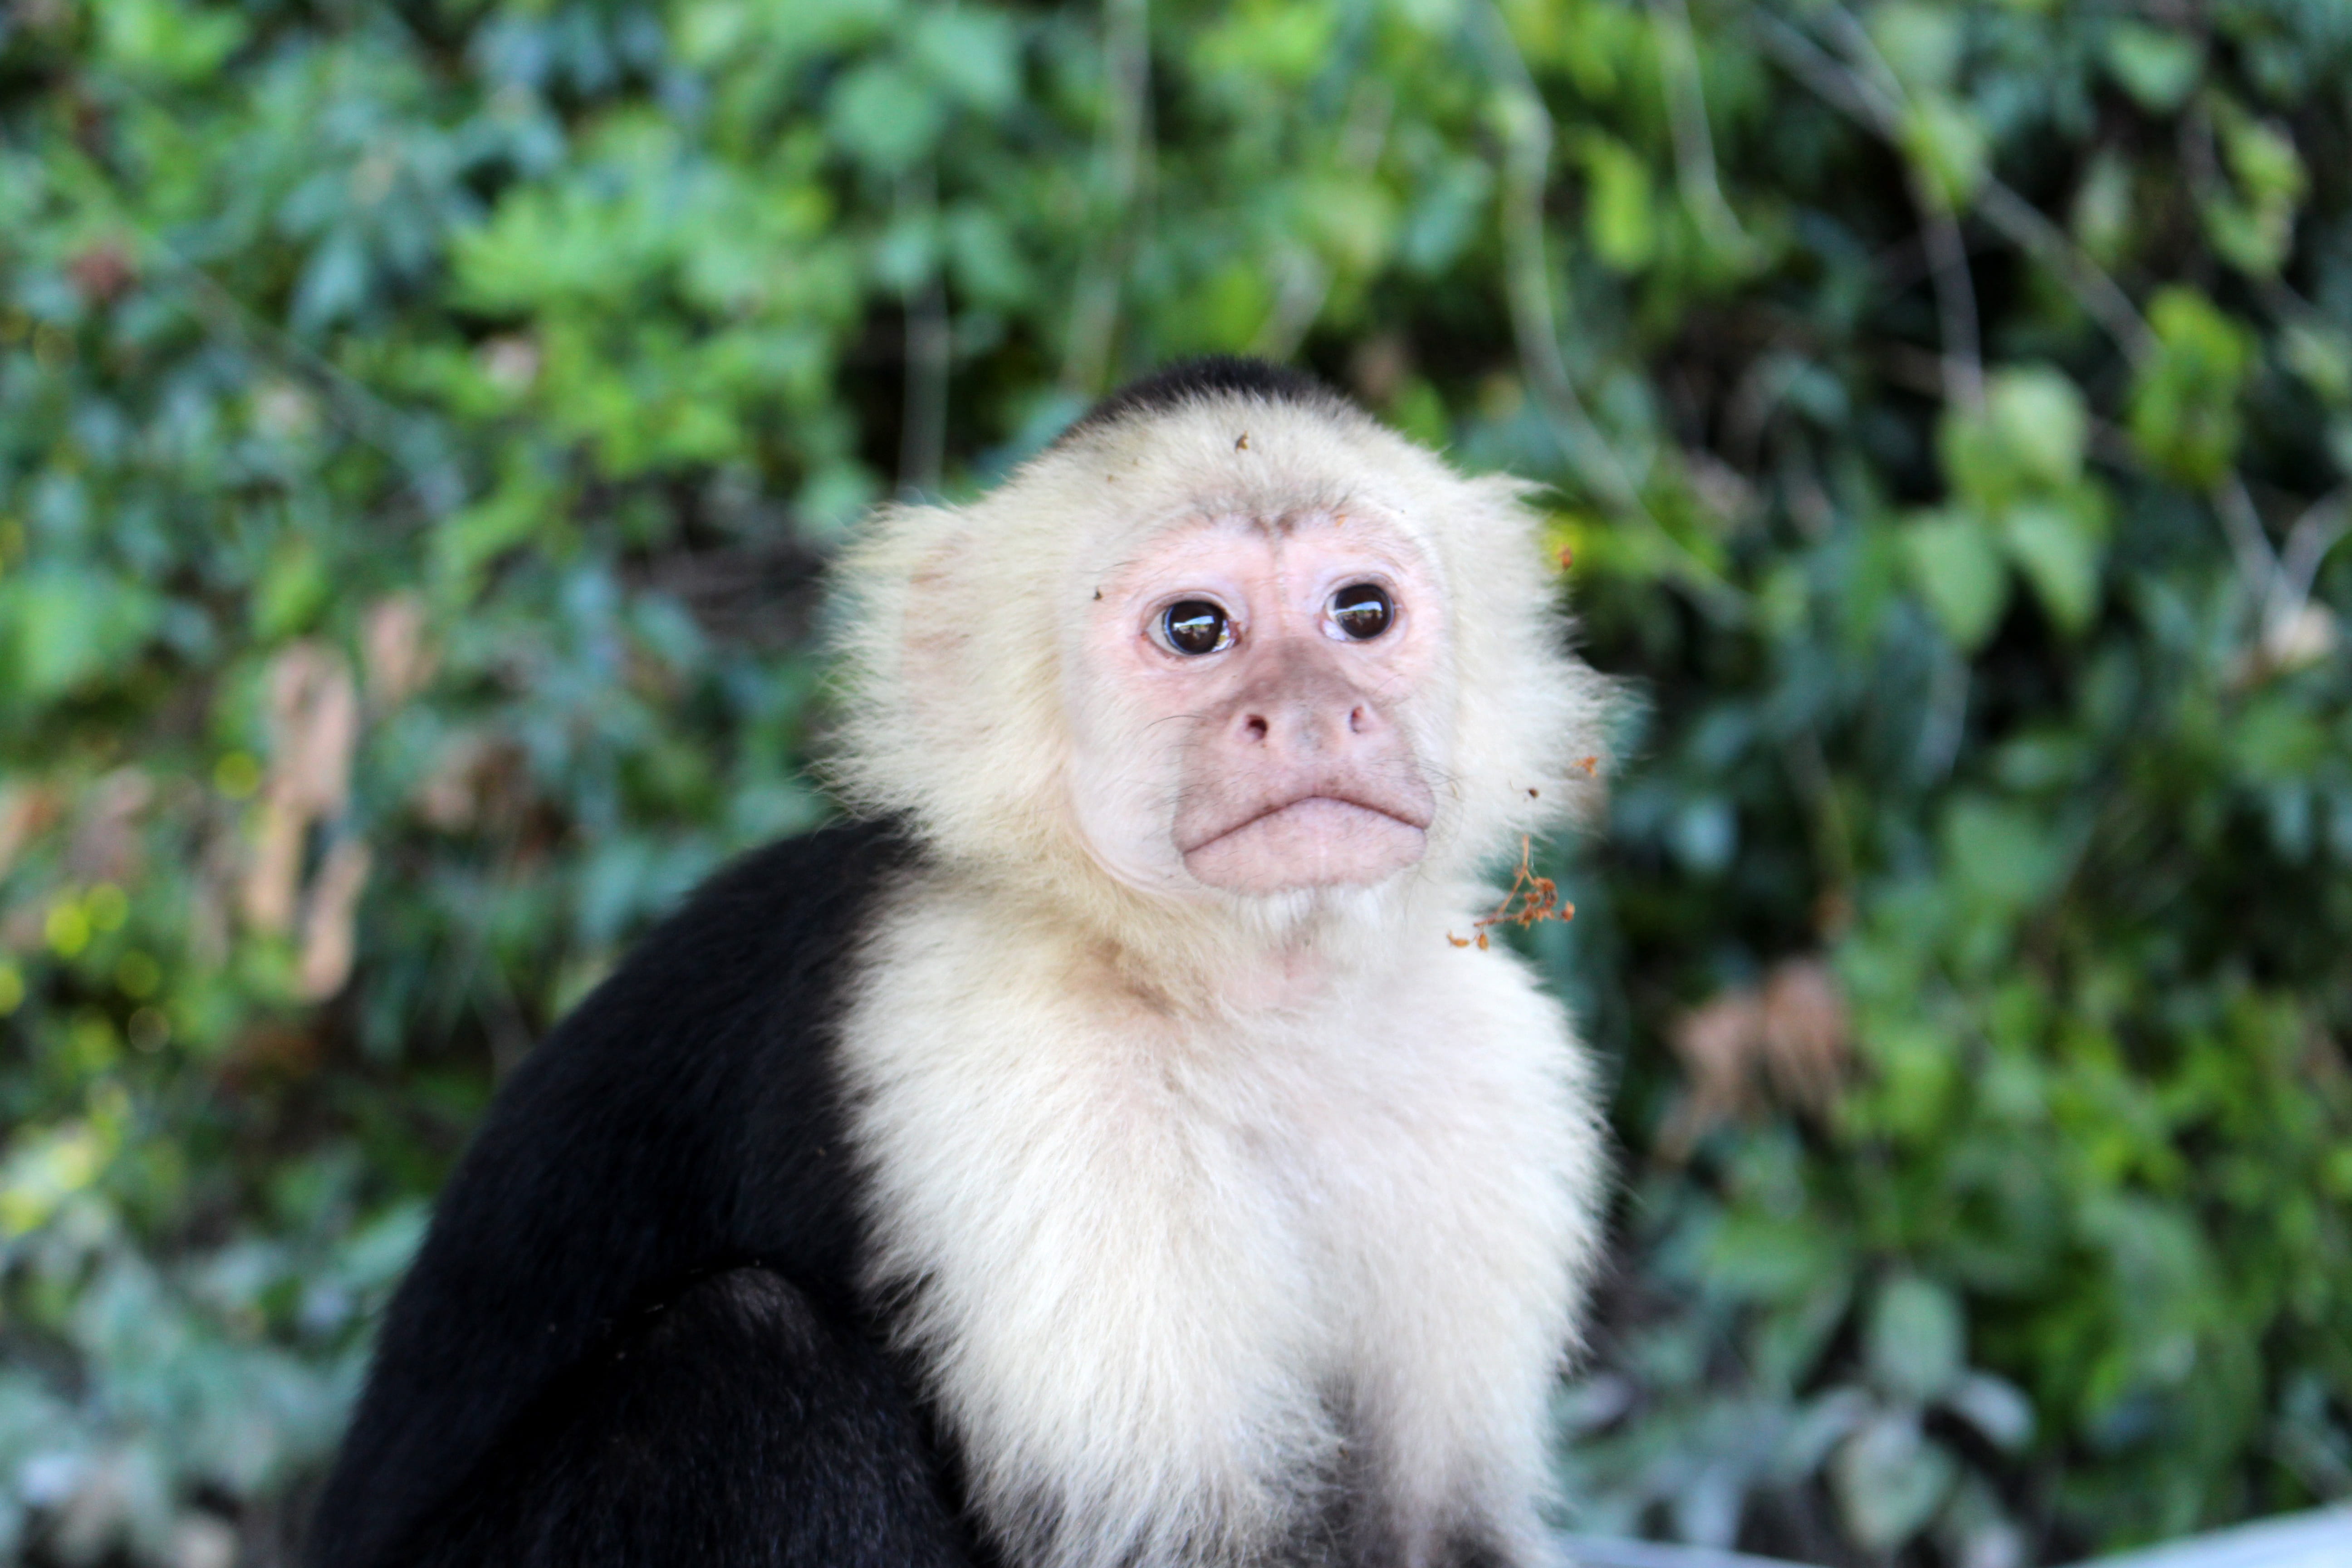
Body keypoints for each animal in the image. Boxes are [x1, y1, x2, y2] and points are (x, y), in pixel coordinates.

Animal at [303, 359, 1608, 1568]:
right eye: (1196, 629)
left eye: (1362, 613)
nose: (1312, 713)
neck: (1249, 994)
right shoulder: (1013, 1049)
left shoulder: (1494, 1063)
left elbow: (1441, 1532)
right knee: (744, 1353)